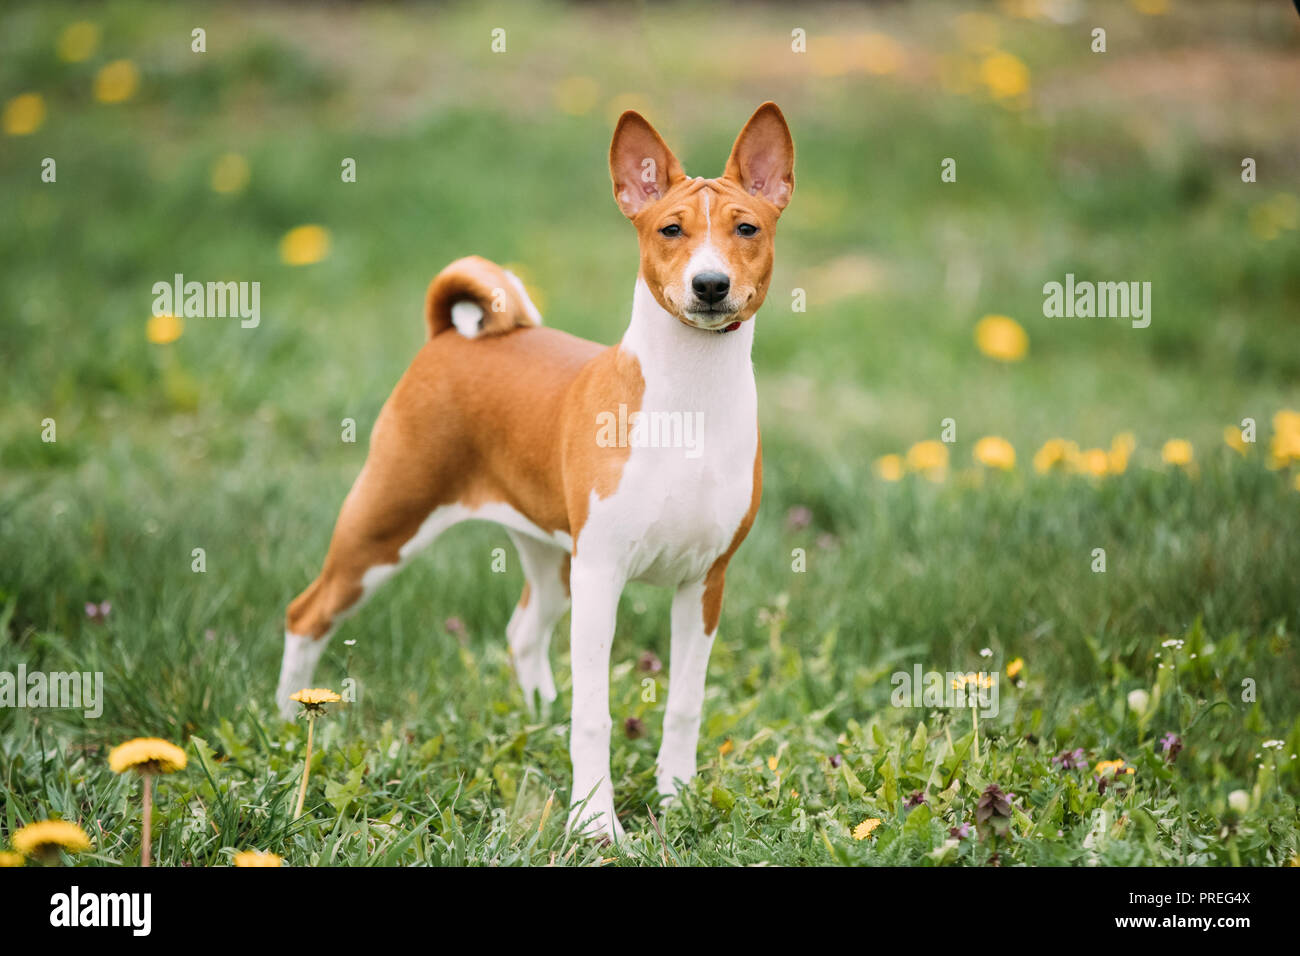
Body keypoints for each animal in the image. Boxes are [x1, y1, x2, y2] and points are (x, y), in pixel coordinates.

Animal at [276, 100, 790, 842]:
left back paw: (539, 715)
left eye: (746, 228)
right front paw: (596, 823)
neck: (687, 403)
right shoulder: (604, 573)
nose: (710, 284)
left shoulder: (704, 582)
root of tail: (450, 337)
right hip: (384, 526)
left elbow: (685, 705)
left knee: (523, 632)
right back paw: (288, 726)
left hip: (551, 556)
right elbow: (595, 716)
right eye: (671, 229)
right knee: (306, 613)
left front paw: (677, 799)